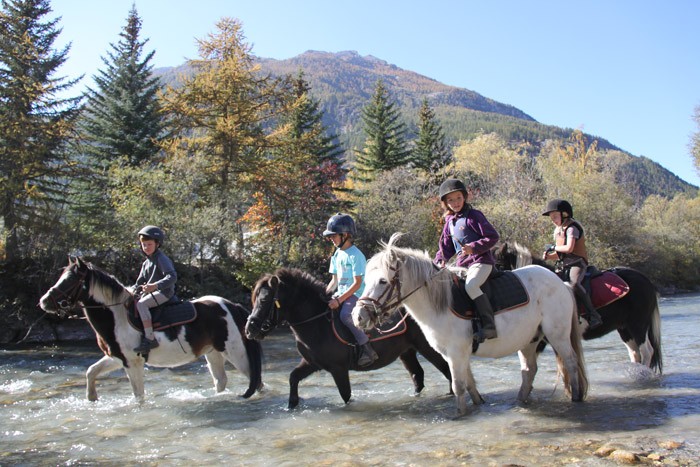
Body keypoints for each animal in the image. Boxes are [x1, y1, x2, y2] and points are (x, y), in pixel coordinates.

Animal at [246, 266, 452, 410]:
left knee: (447, 370)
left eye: (264, 300)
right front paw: (292, 405)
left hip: (427, 347)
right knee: (418, 377)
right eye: (254, 300)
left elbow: (346, 395)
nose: (250, 329)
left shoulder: (338, 368)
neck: (318, 322)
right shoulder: (312, 363)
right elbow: (293, 378)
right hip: (407, 351)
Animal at [352, 234, 588, 416]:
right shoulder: (455, 354)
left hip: (557, 336)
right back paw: (519, 402)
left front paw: (460, 415)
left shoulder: (456, 353)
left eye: (383, 281)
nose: (358, 316)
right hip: (529, 340)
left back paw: (576, 398)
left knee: (570, 362)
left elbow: (458, 386)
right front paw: (478, 406)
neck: (441, 304)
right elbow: (470, 384)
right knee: (529, 370)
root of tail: (562, 283)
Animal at [492, 243, 660, 374]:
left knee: (647, 351)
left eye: (498, 265)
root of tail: (644, 279)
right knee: (635, 353)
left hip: (638, 325)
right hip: (624, 329)